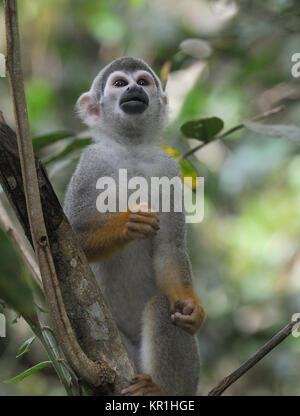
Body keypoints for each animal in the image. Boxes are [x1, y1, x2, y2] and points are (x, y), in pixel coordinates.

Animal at [65, 56, 206, 396]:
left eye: (142, 82)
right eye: (119, 84)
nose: (132, 90)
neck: (130, 149)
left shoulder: (169, 169)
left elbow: (169, 247)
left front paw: (193, 308)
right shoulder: (90, 162)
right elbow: (69, 240)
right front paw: (128, 224)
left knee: (164, 307)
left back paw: (159, 390)